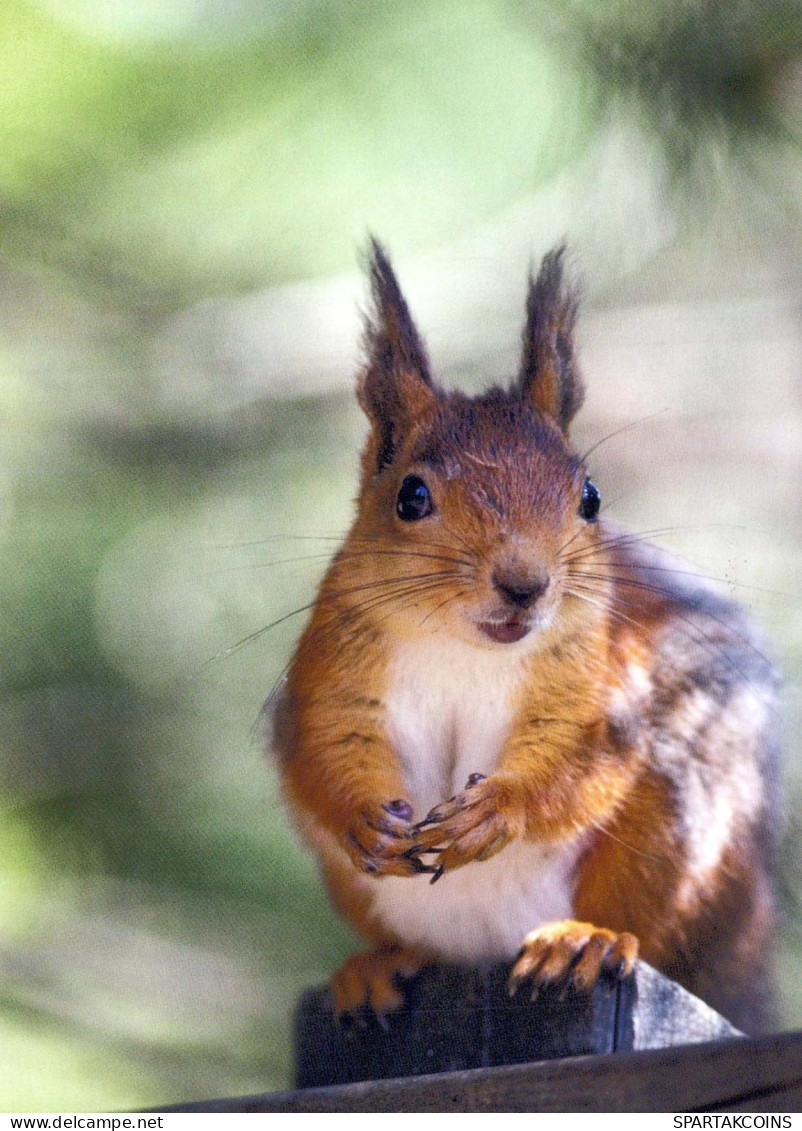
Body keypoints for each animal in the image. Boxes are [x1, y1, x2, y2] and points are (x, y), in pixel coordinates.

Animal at [270, 238, 782, 1035]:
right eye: (411, 495)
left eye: (590, 497)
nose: (524, 583)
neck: (465, 647)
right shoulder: (333, 672)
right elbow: (325, 745)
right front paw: (364, 818)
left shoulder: (599, 683)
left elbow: (573, 761)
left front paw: (495, 810)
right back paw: (375, 966)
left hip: (676, 838)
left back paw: (582, 940)